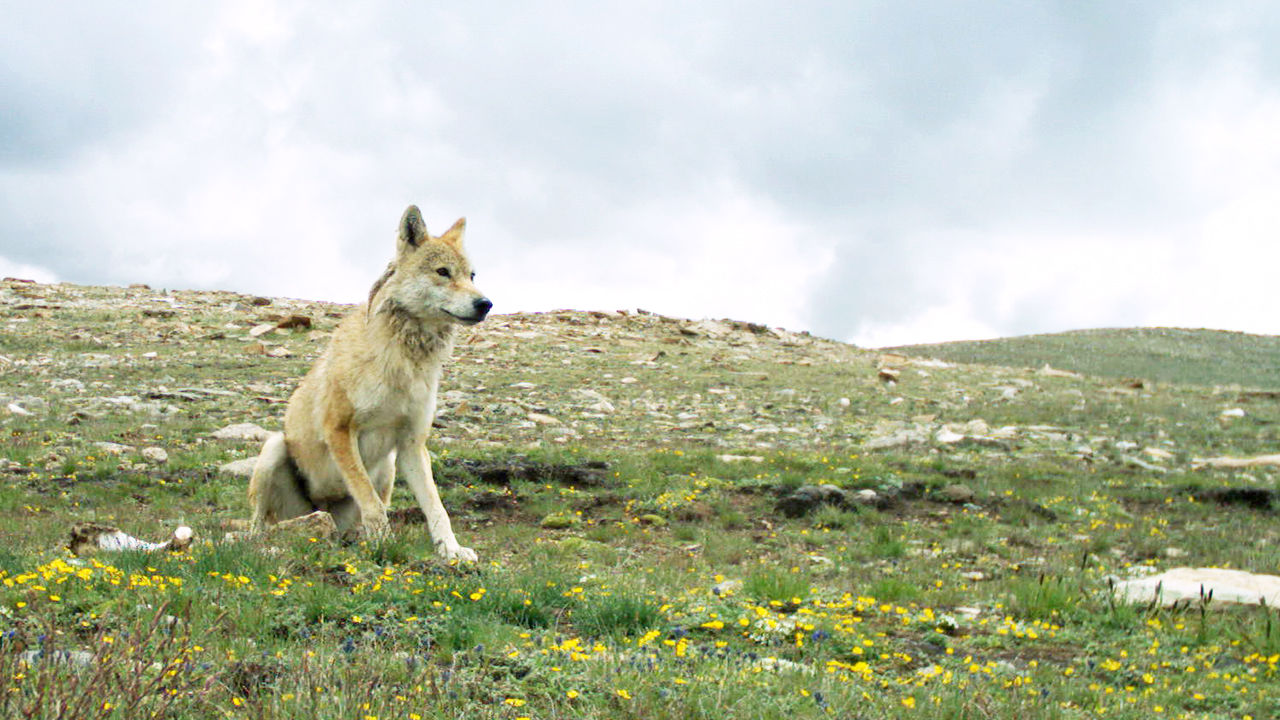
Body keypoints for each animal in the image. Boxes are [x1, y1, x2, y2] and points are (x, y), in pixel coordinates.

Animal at [244, 204, 488, 558]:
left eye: (471, 276)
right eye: (443, 272)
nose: (485, 304)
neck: (405, 363)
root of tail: (321, 509)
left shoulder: (412, 444)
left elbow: (435, 507)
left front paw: (452, 551)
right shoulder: (339, 429)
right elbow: (371, 502)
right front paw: (384, 544)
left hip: (387, 465)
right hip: (274, 449)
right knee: (258, 525)